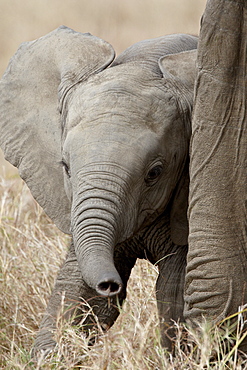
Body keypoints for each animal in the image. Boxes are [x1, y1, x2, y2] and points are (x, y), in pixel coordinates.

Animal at [0, 26, 198, 356]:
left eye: (154, 173)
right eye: (66, 167)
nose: (110, 284)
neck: (145, 65)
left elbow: (175, 288)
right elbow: (77, 292)